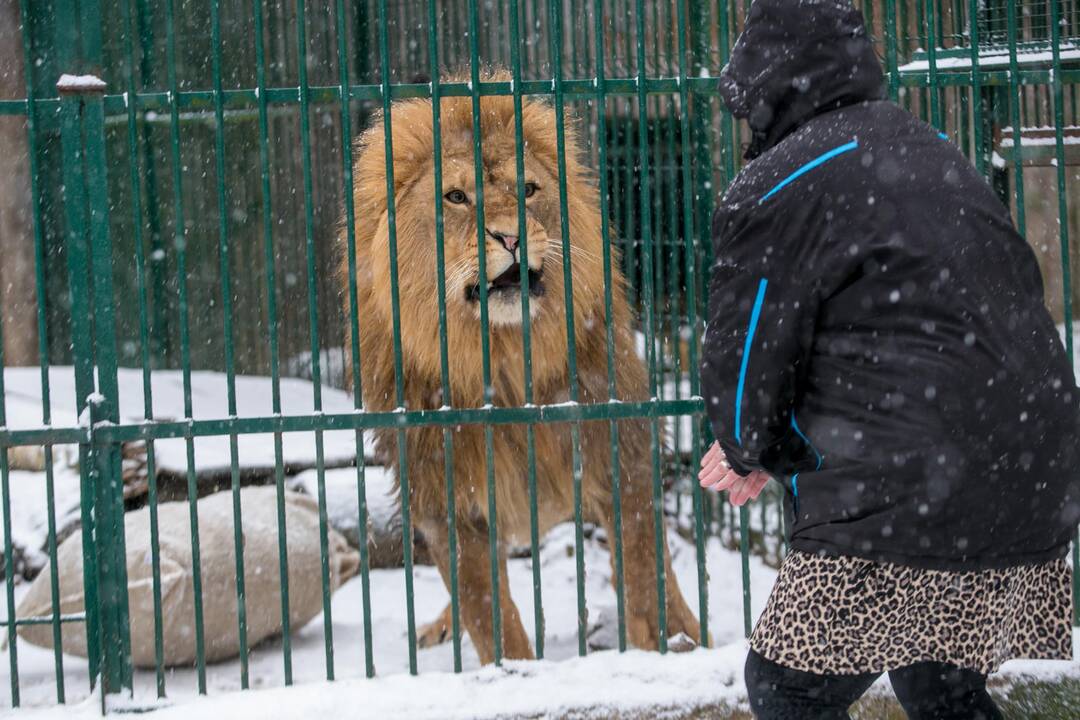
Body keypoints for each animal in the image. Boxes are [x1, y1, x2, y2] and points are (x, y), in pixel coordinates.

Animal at [341, 73, 704, 664]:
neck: (504, 366)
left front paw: (672, 643)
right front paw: (514, 671)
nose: (510, 237)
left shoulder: (621, 454)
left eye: (529, 190)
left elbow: (645, 571)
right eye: (456, 197)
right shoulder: (446, 502)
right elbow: (488, 612)